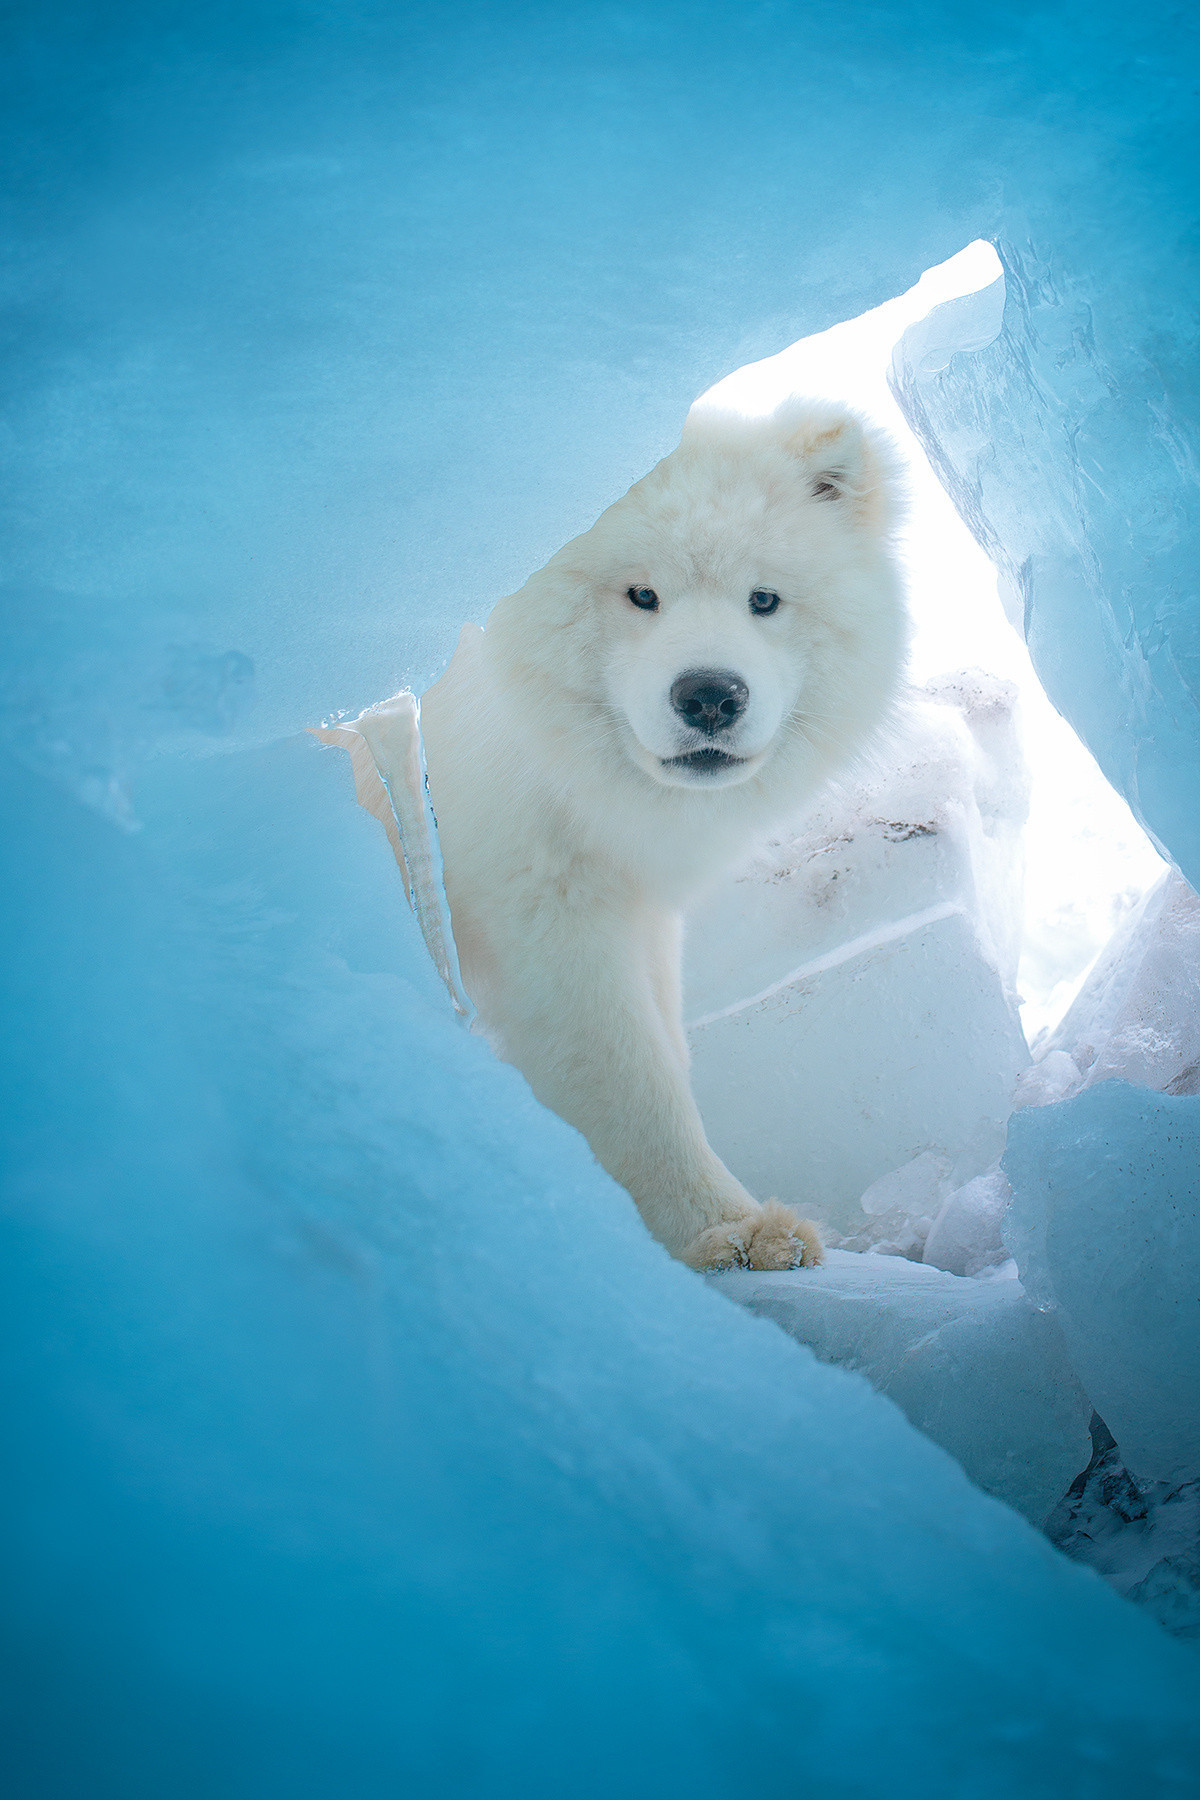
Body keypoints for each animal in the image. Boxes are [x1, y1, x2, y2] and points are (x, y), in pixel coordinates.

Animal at [422, 397, 899, 1267]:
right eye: (641, 595)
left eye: (763, 600)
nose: (710, 695)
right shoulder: (547, 914)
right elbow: (632, 1081)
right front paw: (724, 1229)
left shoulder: (631, 906)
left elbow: (668, 1051)